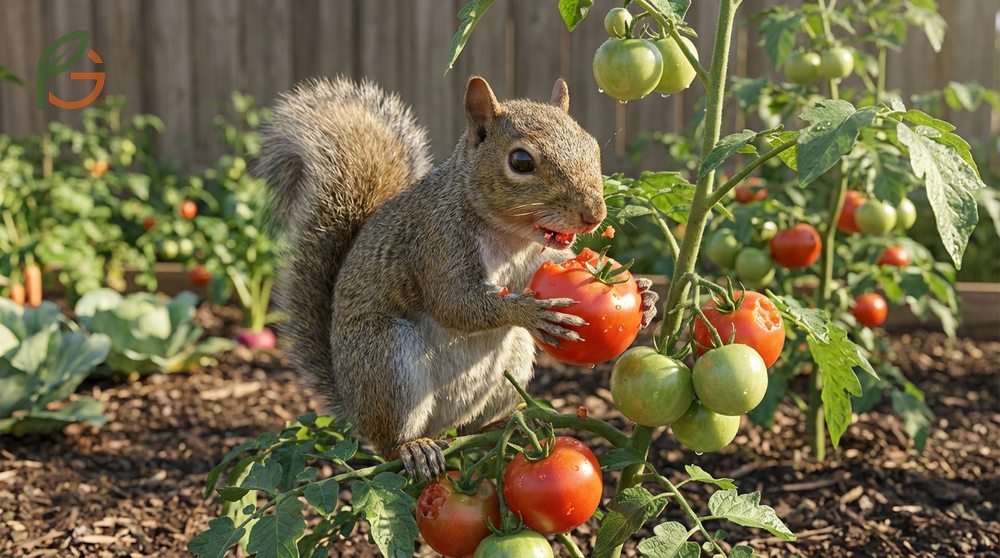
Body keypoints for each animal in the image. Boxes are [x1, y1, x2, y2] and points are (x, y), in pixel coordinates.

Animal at [258, 75, 658, 478]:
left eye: (591, 144)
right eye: (521, 161)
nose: (594, 214)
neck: (512, 238)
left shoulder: (547, 259)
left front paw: (646, 294)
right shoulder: (436, 243)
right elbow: (454, 303)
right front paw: (529, 313)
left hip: (511, 362)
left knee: (476, 427)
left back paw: (510, 425)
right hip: (386, 363)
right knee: (389, 443)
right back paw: (413, 448)